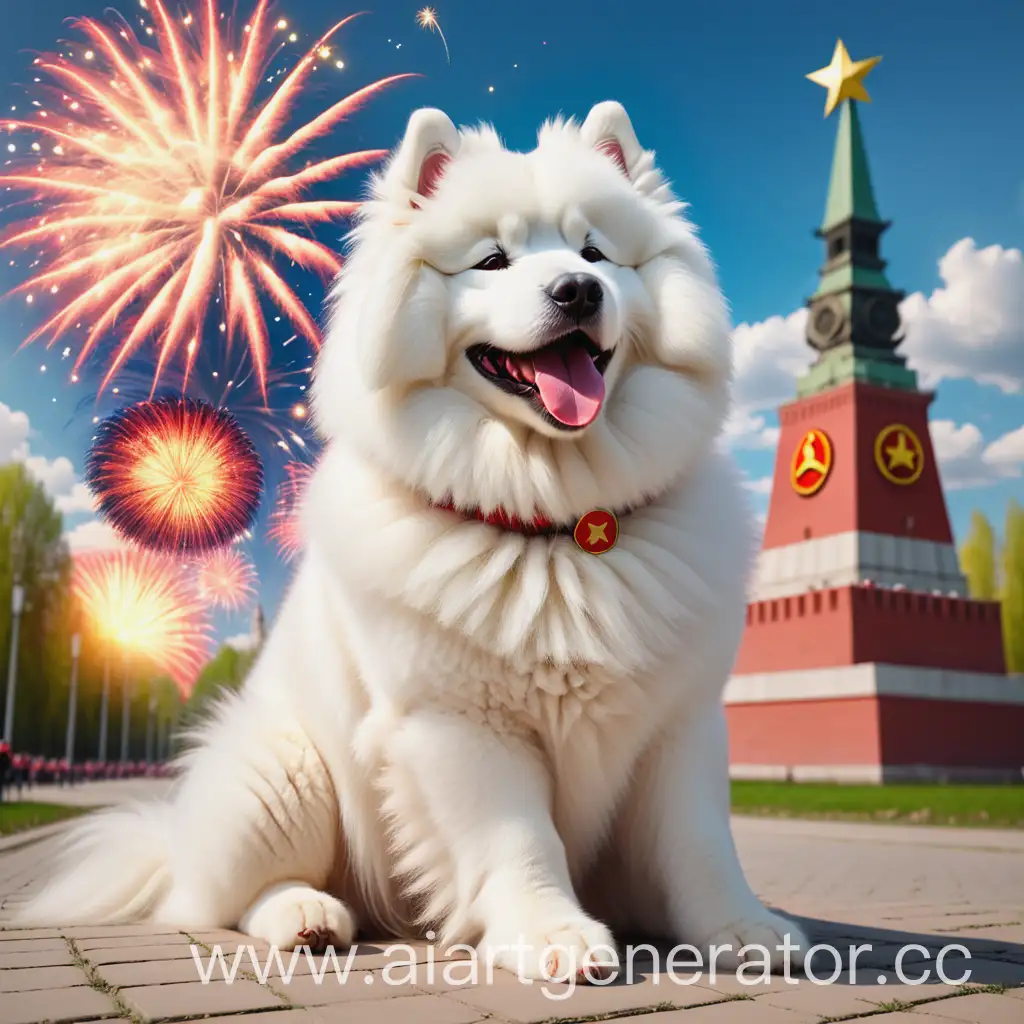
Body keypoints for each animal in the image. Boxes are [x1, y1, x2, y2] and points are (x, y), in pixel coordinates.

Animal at [18, 99, 806, 978]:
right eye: (492, 260)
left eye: (595, 251)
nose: (576, 289)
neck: (558, 526)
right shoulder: (460, 723)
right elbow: (521, 840)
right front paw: (553, 936)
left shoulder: (681, 723)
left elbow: (700, 846)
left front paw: (743, 930)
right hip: (284, 777)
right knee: (224, 901)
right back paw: (308, 915)